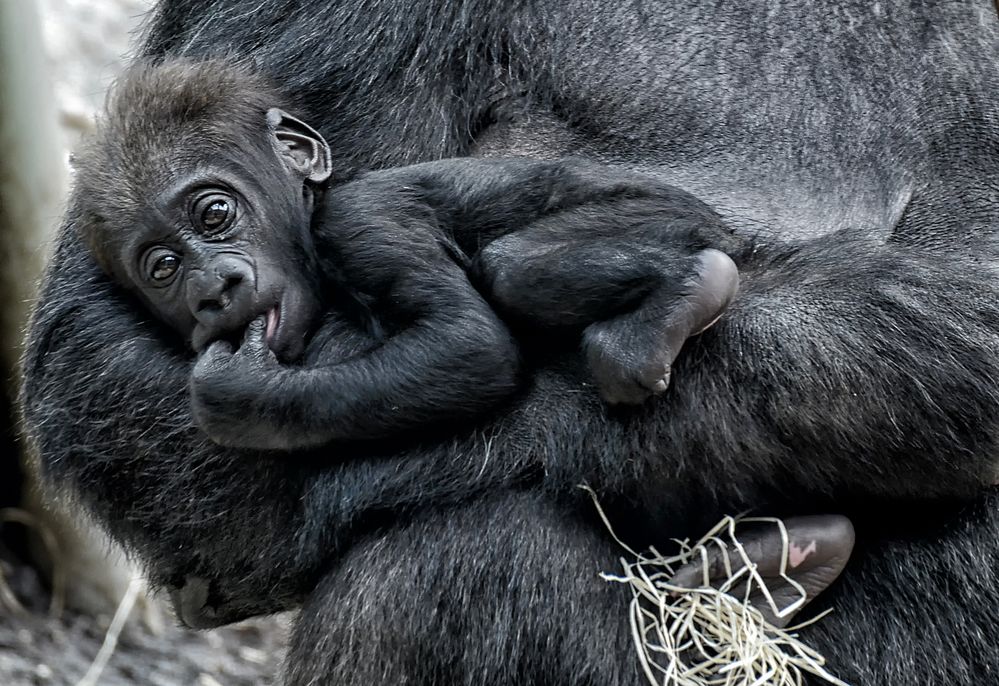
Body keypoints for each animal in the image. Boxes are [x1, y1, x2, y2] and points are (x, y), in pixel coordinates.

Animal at [76, 59, 744, 452]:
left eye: (214, 214)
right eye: (164, 268)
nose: (213, 287)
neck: (310, 216)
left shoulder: (359, 224)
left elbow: (466, 341)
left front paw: (241, 395)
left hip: (667, 215)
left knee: (514, 267)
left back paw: (688, 289)